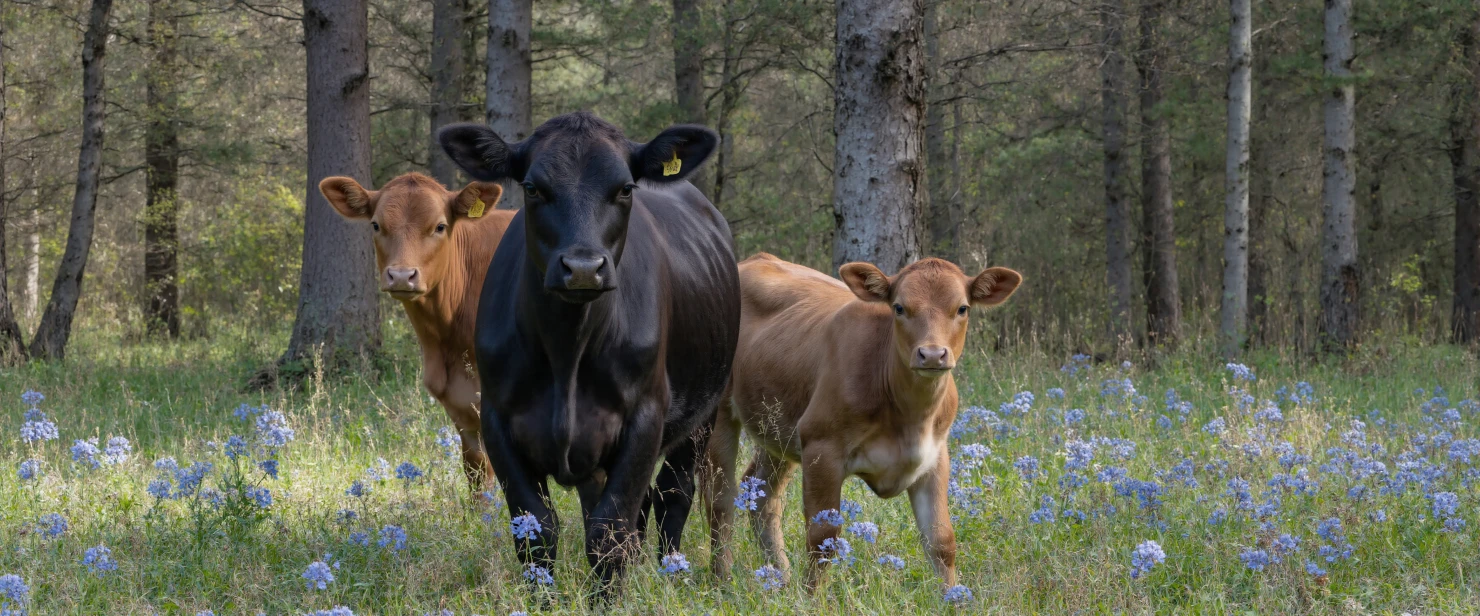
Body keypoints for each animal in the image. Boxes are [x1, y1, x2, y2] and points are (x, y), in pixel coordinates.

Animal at [436, 112, 741, 593]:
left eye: (626, 188)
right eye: (532, 187)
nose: (582, 268)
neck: (568, 352)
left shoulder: (645, 417)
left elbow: (608, 531)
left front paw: (608, 598)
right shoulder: (497, 420)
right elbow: (536, 531)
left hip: (704, 410)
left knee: (673, 494)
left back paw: (668, 575)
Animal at [703, 253, 1021, 587]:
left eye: (962, 308)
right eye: (899, 307)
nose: (933, 355)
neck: (910, 419)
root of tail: (754, 259)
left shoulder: (934, 456)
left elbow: (941, 541)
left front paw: (951, 596)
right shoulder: (822, 449)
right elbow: (823, 538)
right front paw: (813, 597)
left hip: (780, 427)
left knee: (762, 495)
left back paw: (780, 577)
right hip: (721, 415)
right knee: (720, 497)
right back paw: (721, 579)